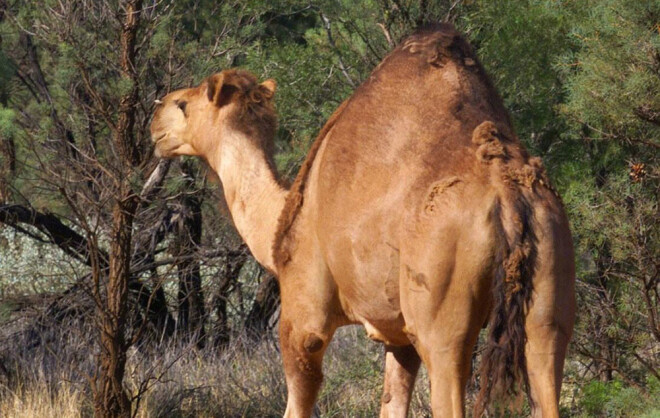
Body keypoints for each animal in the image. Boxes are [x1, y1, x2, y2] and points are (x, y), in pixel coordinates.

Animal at [152, 23, 576, 418]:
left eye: (184, 104)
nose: (156, 116)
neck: (280, 222)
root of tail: (508, 194)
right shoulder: (397, 337)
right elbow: (391, 403)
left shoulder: (303, 318)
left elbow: (297, 400)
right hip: (548, 298)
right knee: (546, 367)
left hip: (443, 324)